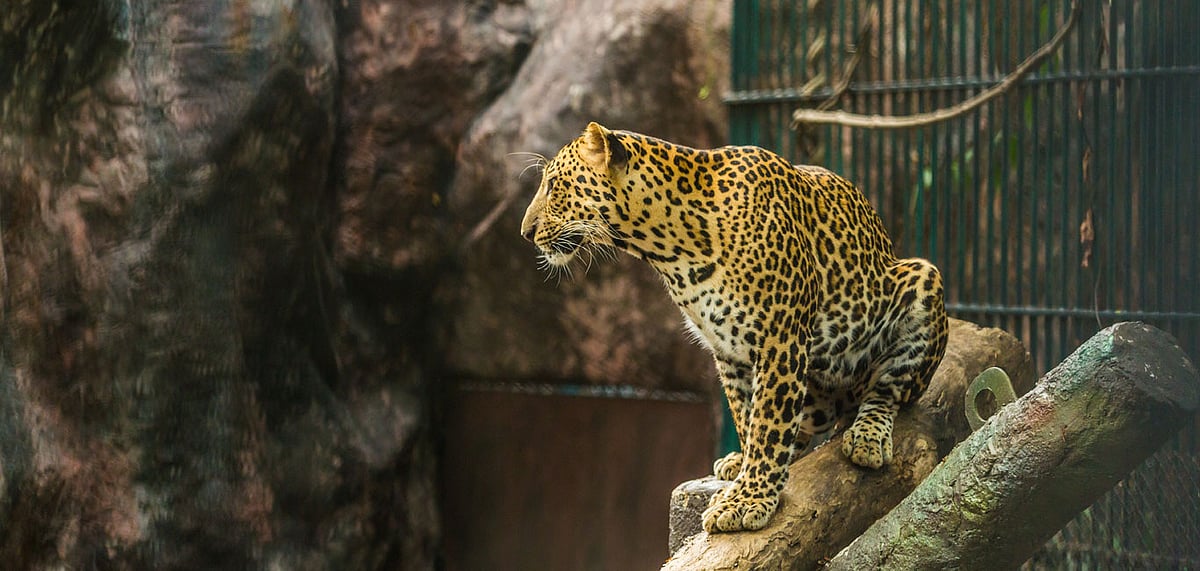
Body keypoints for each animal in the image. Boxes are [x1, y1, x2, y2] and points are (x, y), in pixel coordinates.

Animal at [519, 122, 948, 533]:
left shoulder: (781, 339)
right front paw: (746, 475)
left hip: (921, 280)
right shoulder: (728, 351)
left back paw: (867, 436)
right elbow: (748, 418)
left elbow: (770, 424)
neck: (670, 249)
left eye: (554, 185)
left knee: (886, 389)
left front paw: (748, 500)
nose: (526, 232)